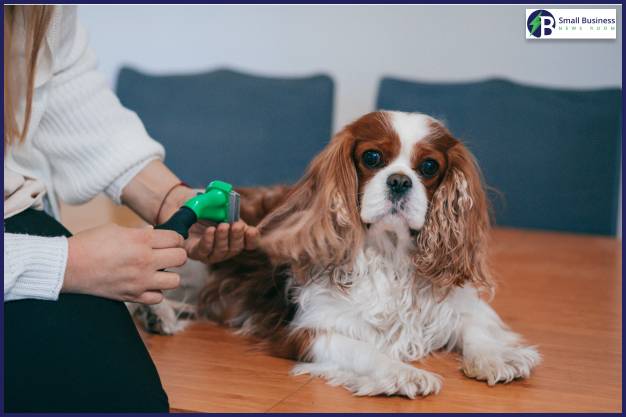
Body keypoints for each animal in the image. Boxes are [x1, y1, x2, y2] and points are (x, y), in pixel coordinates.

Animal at [135, 110, 536, 396]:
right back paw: (156, 313)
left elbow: (476, 326)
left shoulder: (457, 303)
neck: (389, 255)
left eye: (429, 166)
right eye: (372, 157)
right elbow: (364, 350)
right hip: (185, 259)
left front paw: (496, 358)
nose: (399, 181)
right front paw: (402, 372)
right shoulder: (309, 330)